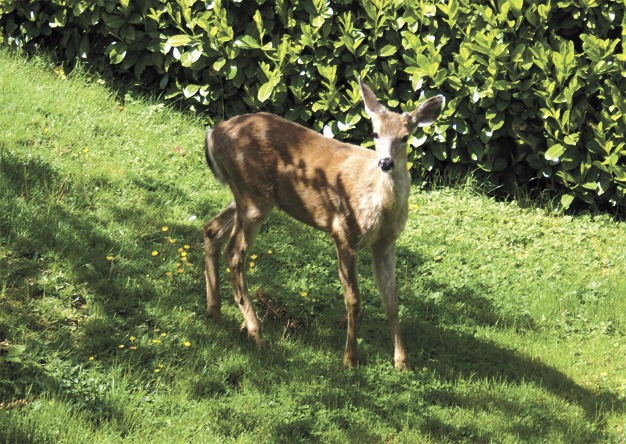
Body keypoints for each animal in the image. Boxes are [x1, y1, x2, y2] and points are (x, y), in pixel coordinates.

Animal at [202, 80, 442, 372]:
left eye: (405, 137)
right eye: (374, 133)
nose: (385, 162)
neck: (380, 205)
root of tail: (213, 133)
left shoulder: (386, 242)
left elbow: (392, 300)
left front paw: (402, 362)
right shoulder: (343, 232)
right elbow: (354, 300)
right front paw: (350, 359)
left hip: (248, 195)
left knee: (211, 229)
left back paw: (214, 311)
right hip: (253, 196)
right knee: (235, 252)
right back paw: (256, 333)